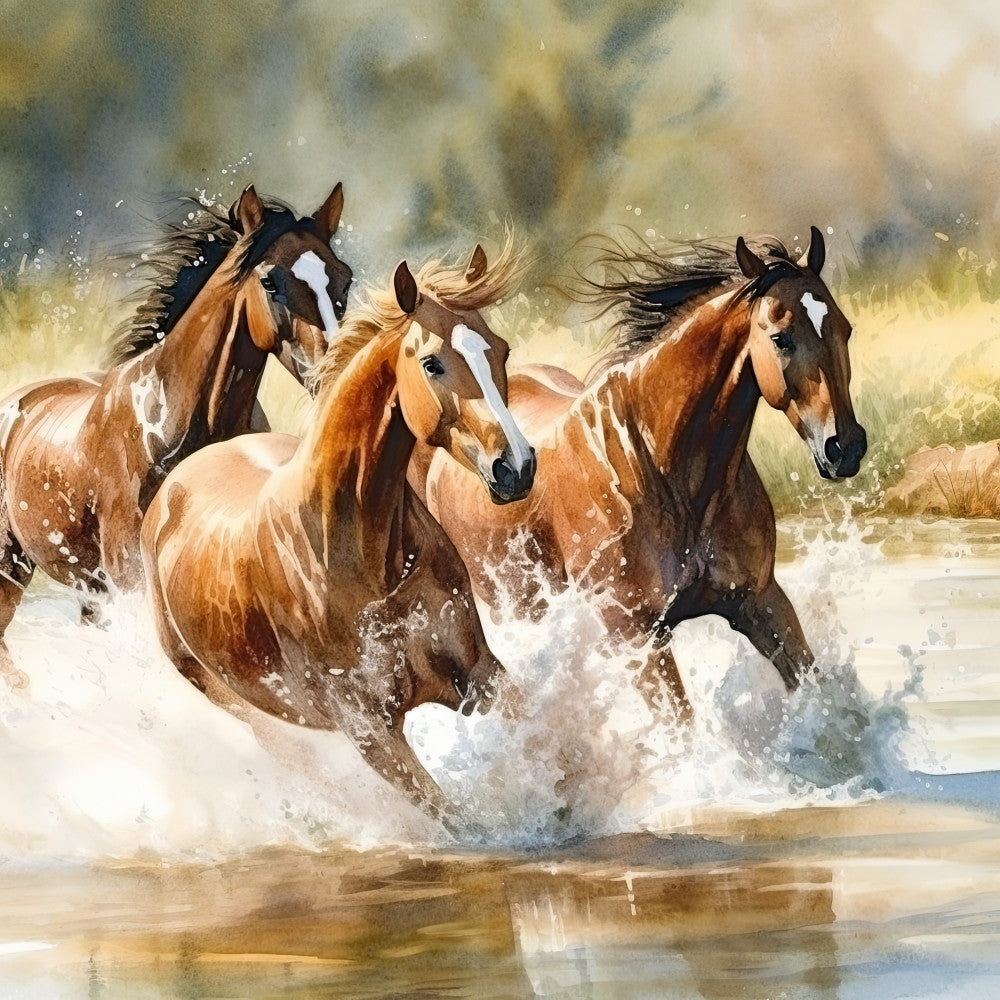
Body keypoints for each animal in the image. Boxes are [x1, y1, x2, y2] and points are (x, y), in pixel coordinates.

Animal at [0, 183, 352, 685]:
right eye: (270, 282)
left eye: (344, 280)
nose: (336, 370)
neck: (175, 424)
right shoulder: (130, 579)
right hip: (12, 568)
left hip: (87, 589)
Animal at [140, 243, 536, 828]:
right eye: (433, 363)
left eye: (501, 351)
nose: (517, 467)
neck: (364, 558)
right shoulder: (370, 731)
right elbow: (457, 819)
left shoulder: (479, 675)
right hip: (249, 710)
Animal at [413, 227, 867, 721]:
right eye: (781, 338)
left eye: (845, 329)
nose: (846, 447)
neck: (660, 470)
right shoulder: (636, 639)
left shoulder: (762, 601)